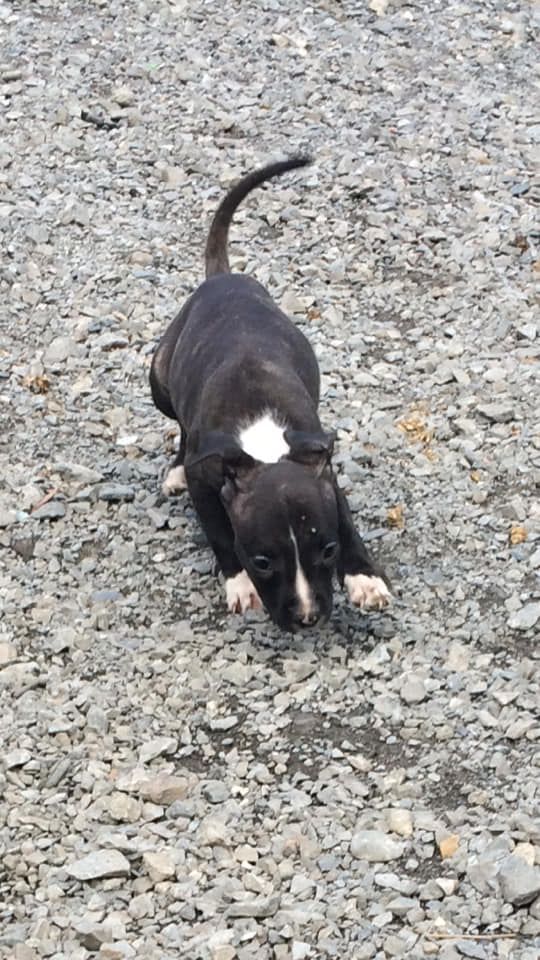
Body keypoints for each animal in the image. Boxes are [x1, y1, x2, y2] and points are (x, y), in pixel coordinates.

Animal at [150, 156, 391, 631]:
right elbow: (221, 535)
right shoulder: (208, 485)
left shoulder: (322, 468)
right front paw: (239, 585)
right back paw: (176, 470)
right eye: (262, 561)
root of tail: (223, 277)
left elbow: (345, 516)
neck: (262, 440)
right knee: (180, 428)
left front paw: (363, 577)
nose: (308, 618)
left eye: (328, 550)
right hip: (159, 380)